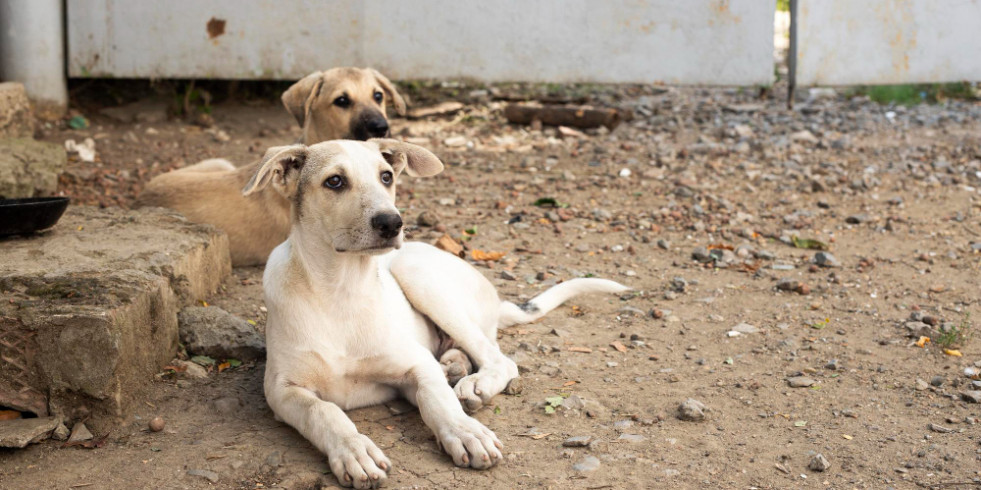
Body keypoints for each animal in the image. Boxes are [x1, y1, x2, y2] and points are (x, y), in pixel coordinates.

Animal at [245, 138, 628, 486]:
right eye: (334, 181)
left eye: (386, 177)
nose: (392, 223)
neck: (341, 289)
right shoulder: (281, 390)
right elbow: (323, 411)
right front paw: (355, 450)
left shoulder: (416, 364)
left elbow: (437, 399)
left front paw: (465, 432)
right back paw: (455, 366)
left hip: (417, 274)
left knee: (498, 358)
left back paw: (475, 383)